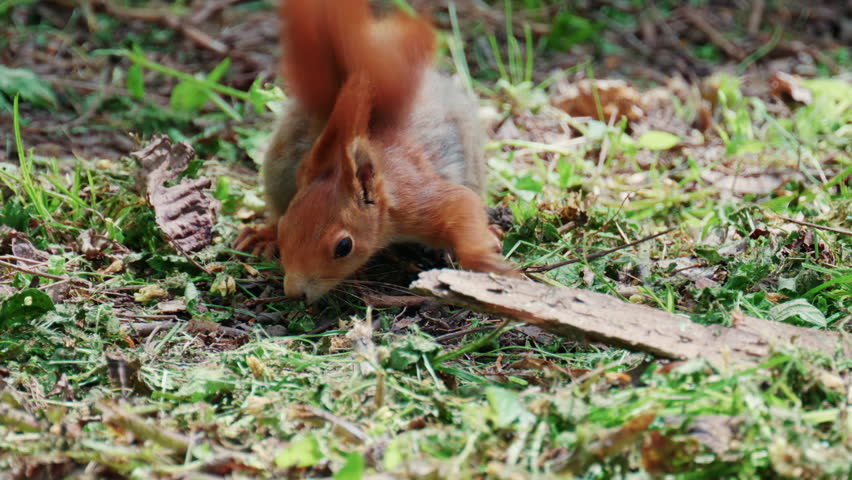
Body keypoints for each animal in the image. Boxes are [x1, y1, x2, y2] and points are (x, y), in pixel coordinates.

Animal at [236, 0, 514, 303]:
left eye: (344, 247)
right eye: (287, 229)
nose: (295, 293)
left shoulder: (422, 201)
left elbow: (462, 204)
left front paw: (486, 262)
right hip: (283, 162)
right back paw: (262, 235)